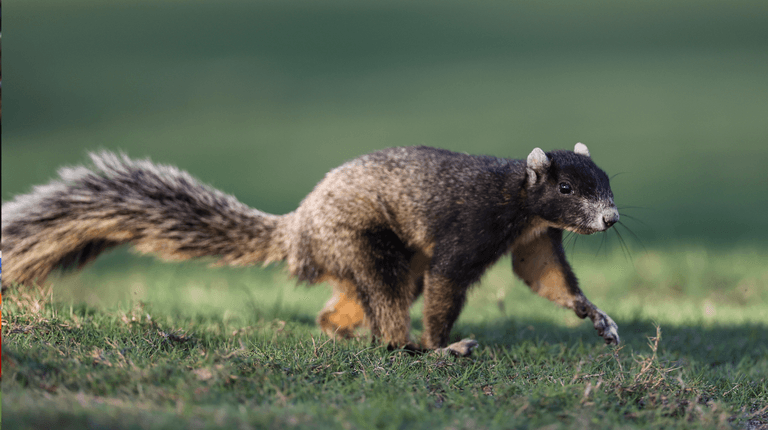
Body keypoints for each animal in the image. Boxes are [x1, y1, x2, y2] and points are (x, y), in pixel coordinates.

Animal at [1, 143, 620, 354]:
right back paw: (413, 349)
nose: (611, 217)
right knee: (388, 304)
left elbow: (544, 276)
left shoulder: (536, 240)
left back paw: (338, 331)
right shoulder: (468, 228)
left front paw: (598, 317)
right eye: (567, 189)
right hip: (361, 242)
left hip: (371, 261)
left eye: (606, 179)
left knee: (348, 304)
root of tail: (297, 230)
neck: (520, 200)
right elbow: (448, 285)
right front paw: (441, 342)